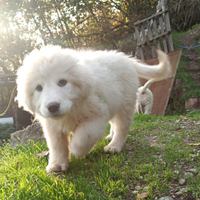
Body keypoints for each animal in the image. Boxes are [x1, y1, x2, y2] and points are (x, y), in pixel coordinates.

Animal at [16, 46, 172, 173]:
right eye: (38, 88)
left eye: (62, 82)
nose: (52, 106)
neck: (71, 110)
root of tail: (125, 58)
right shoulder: (52, 127)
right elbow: (57, 146)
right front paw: (57, 164)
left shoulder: (97, 117)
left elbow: (83, 137)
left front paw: (77, 151)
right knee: (115, 125)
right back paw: (110, 137)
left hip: (125, 105)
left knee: (122, 127)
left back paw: (114, 145)